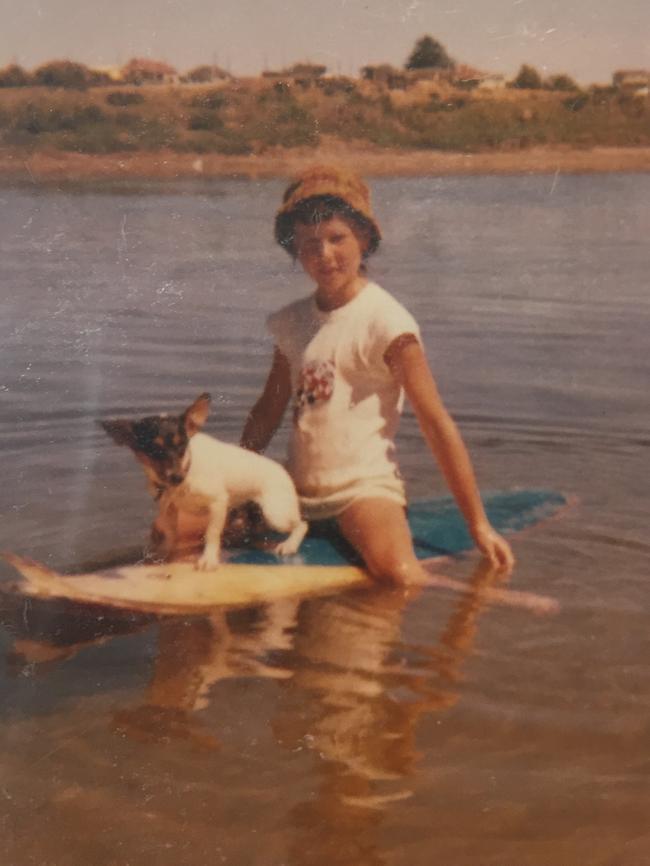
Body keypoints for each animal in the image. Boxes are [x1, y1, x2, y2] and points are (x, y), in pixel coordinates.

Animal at [100, 390, 308, 568]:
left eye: (182, 446)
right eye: (153, 450)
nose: (176, 477)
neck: (187, 471)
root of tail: (283, 471)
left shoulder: (218, 503)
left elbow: (211, 534)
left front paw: (208, 560)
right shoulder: (169, 510)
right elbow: (170, 534)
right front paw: (164, 555)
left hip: (275, 514)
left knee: (302, 525)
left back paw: (289, 545)